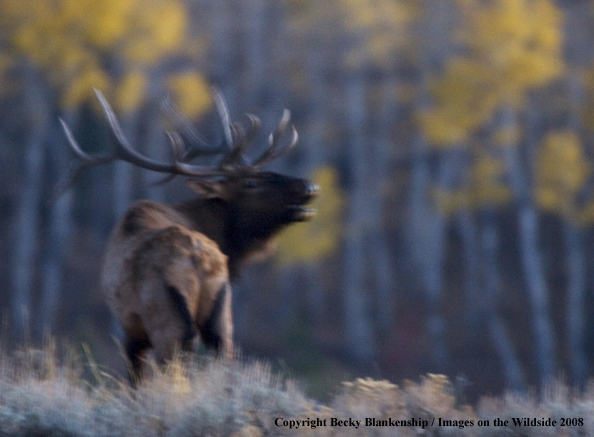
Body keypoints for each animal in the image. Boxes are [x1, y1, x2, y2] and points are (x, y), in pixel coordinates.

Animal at [59, 88, 316, 382]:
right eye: (251, 182)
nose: (309, 186)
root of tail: (198, 257)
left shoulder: (130, 328)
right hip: (221, 315)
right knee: (222, 359)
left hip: (166, 318)